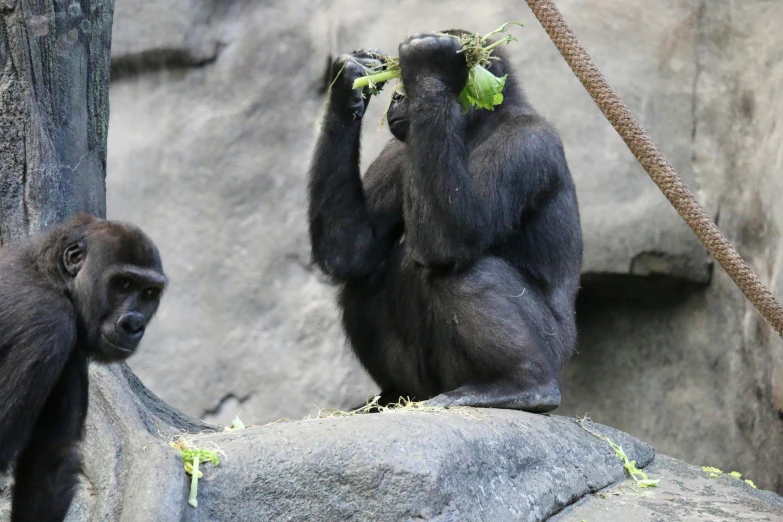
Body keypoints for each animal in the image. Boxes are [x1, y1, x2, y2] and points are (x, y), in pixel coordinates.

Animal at [0, 212, 165, 520]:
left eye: (149, 293)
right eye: (123, 284)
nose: (134, 324)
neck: (51, 275)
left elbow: (50, 457)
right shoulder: (47, 324)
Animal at [310, 31, 584, 410]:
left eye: (408, 84)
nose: (397, 97)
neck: (476, 126)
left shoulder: (523, 144)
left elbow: (451, 242)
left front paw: (430, 65)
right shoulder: (398, 150)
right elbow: (352, 253)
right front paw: (349, 81)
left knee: (460, 270)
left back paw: (525, 382)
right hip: (428, 387)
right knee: (365, 277)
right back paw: (393, 394)